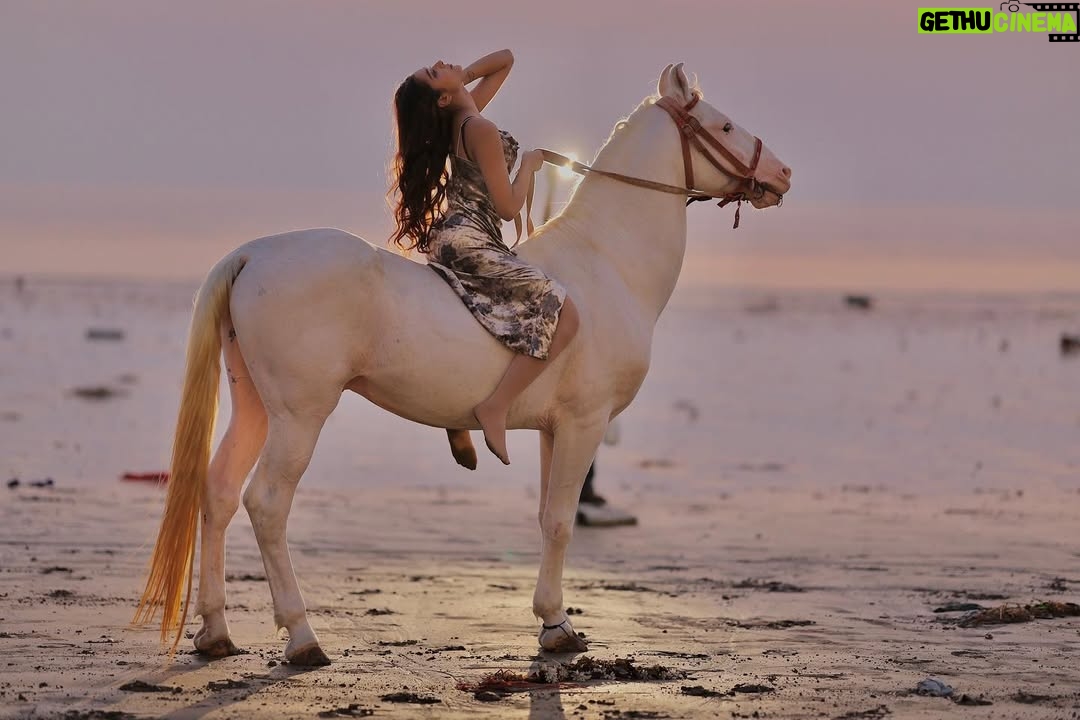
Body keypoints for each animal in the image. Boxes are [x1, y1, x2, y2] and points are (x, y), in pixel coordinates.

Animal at [133, 63, 792, 666]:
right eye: (723, 125)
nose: (782, 173)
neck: (606, 262)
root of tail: (253, 254)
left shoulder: (557, 429)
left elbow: (548, 517)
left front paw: (555, 618)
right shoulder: (586, 423)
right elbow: (560, 521)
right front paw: (557, 629)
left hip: (255, 406)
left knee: (218, 492)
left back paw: (216, 633)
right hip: (299, 416)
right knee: (267, 503)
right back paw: (301, 637)